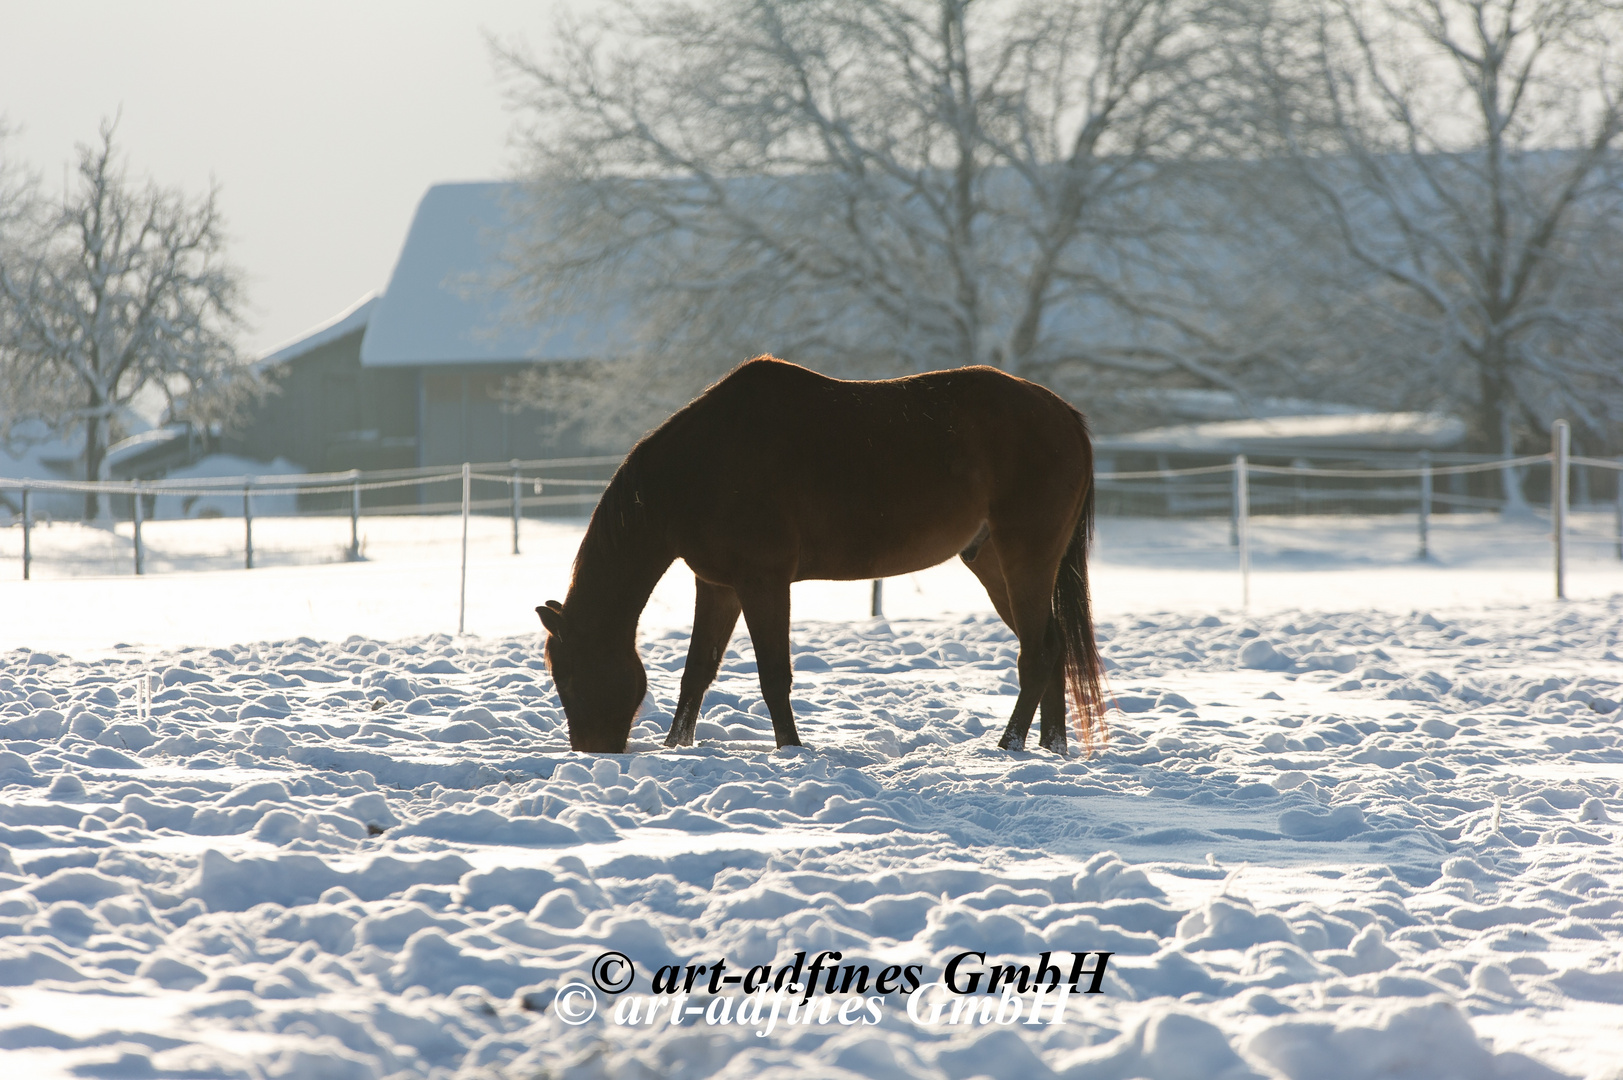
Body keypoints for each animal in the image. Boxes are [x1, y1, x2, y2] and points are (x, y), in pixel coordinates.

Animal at [538, 357, 1110, 753]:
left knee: (1036, 653)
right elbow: (696, 670)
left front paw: (790, 749)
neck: (699, 467)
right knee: (1054, 645)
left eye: (570, 675)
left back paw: (1008, 746)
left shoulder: (763, 581)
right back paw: (1052, 747)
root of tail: (1065, 416)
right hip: (992, 561)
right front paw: (677, 745)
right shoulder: (719, 585)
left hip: (1024, 557)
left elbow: (773, 675)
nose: (592, 750)